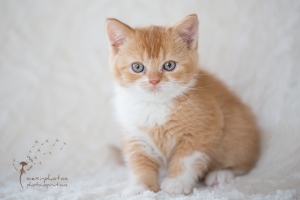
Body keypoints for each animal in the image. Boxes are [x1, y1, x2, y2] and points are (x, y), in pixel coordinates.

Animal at [106, 14, 260, 197]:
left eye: (169, 65)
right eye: (137, 67)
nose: (154, 80)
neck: (156, 105)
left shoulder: (203, 128)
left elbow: (186, 159)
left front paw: (176, 183)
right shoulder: (135, 134)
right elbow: (139, 162)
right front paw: (140, 187)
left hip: (237, 129)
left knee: (244, 163)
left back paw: (221, 174)